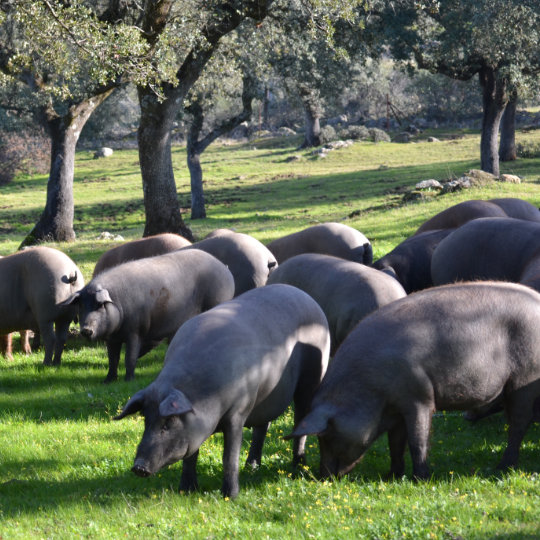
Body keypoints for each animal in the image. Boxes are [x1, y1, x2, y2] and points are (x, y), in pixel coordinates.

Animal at [64, 250, 233, 382]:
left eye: (99, 305)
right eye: (81, 306)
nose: (86, 329)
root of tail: (225, 269)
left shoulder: (135, 331)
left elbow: (130, 357)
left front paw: (129, 380)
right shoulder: (112, 339)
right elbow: (113, 359)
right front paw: (107, 381)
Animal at [116, 284, 332, 500]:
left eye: (167, 423)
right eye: (146, 419)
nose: (138, 467)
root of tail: (305, 296)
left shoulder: (238, 411)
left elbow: (229, 456)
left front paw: (230, 496)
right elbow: (191, 456)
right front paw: (186, 490)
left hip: (312, 378)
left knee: (300, 421)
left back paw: (298, 467)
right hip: (267, 398)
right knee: (263, 426)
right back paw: (252, 467)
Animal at [288, 280, 540, 478]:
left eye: (326, 436)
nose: (323, 476)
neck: (369, 391)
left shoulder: (418, 396)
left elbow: (417, 440)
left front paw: (420, 478)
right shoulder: (395, 410)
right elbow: (395, 443)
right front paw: (392, 476)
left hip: (525, 378)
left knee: (519, 423)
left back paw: (502, 468)